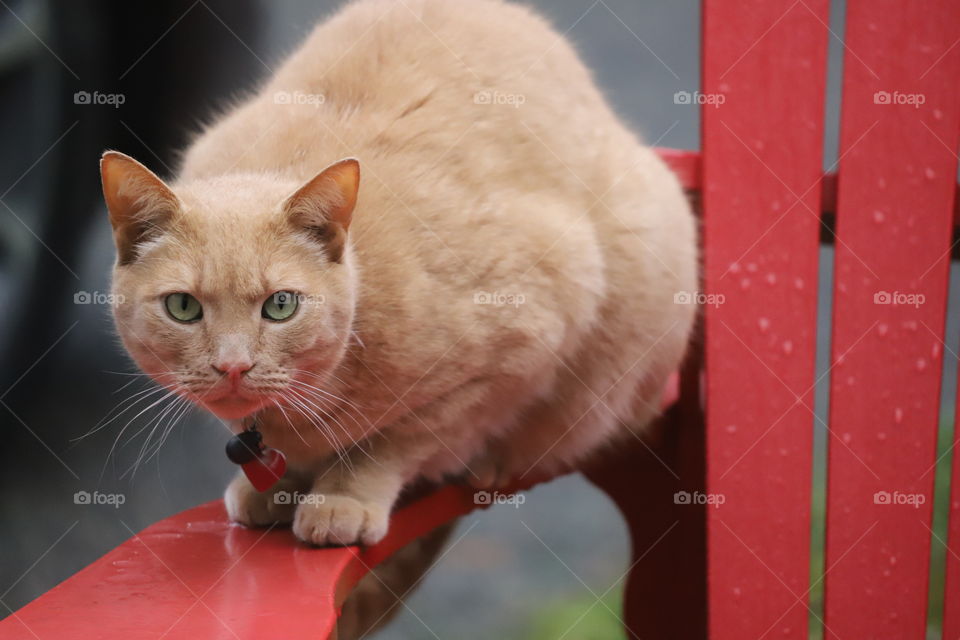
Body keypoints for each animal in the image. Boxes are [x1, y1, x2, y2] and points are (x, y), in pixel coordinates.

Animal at [101, 0, 692, 552]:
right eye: (183, 307)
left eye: (280, 305)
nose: (232, 367)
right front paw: (277, 487)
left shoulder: (512, 353)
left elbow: (392, 443)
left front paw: (342, 498)